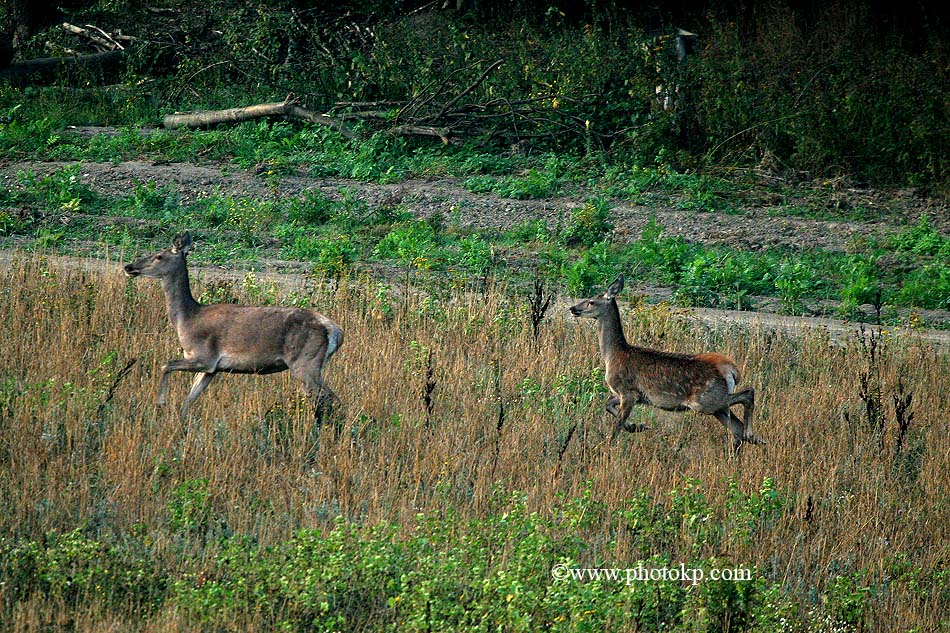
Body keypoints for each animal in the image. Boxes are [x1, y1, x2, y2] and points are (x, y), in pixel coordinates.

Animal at [124, 232, 343, 423]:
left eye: (158, 256)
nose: (129, 266)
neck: (186, 319)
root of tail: (335, 331)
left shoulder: (204, 357)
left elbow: (166, 365)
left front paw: (160, 403)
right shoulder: (212, 369)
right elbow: (188, 400)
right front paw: (179, 424)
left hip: (304, 362)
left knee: (331, 399)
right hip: (313, 364)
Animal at [569, 274, 764, 451]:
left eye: (591, 301)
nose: (572, 308)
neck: (614, 355)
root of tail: (731, 370)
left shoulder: (628, 391)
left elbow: (616, 427)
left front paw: (610, 445)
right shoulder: (631, 394)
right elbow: (608, 404)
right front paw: (638, 426)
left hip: (705, 400)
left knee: (748, 394)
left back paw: (752, 435)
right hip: (717, 406)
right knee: (736, 427)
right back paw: (746, 445)